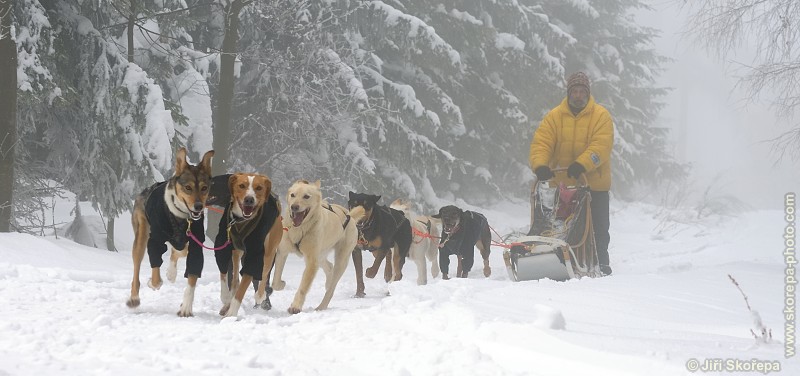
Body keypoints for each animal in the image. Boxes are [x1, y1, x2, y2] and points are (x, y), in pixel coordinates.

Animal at [272, 181, 366, 312]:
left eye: (306, 196)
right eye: (292, 195)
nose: (294, 207)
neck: (300, 228)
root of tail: (349, 216)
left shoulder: (312, 262)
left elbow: (303, 287)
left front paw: (295, 306)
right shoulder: (282, 252)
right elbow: (275, 282)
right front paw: (281, 284)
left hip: (341, 260)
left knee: (331, 289)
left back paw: (321, 306)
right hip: (320, 255)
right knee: (329, 267)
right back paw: (328, 282)